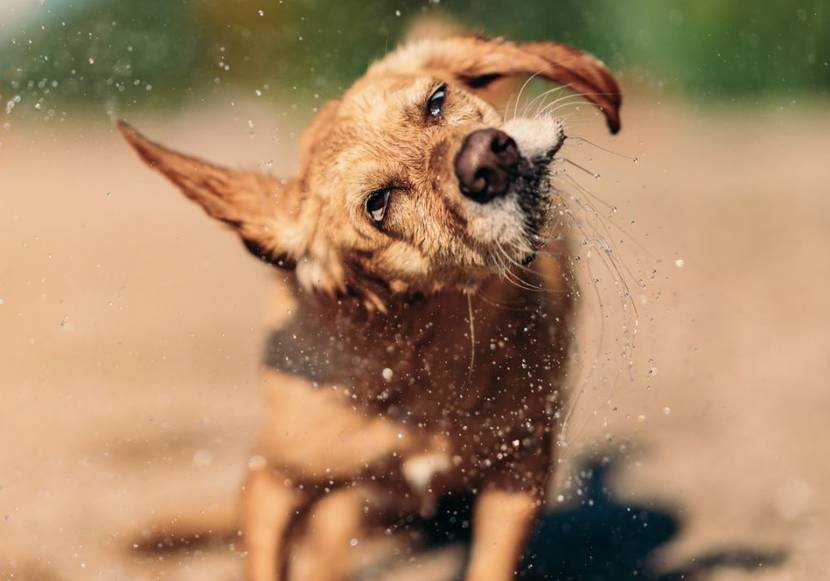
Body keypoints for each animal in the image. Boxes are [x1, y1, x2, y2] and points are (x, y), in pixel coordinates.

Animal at [120, 35, 620, 580]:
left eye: (437, 101)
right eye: (378, 203)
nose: (486, 157)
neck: (420, 348)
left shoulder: (518, 471)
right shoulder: (274, 481)